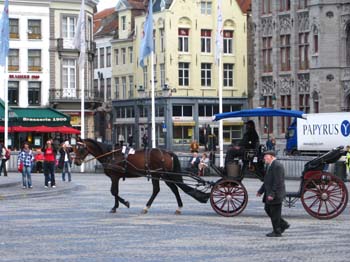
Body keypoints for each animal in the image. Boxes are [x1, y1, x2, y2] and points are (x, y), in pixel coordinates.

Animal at [74, 138, 209, 214]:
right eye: (74, 148)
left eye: (81, 149)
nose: (76, 162)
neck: (110, 154)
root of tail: (167, 152)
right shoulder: (116, 178)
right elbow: (115, 192)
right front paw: (116, 206)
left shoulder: (114, 177)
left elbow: (114, 192)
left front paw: (124, 203)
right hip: (163, 175)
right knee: (171, 189)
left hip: (160, 174)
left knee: (162, 189)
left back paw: (148, 207)